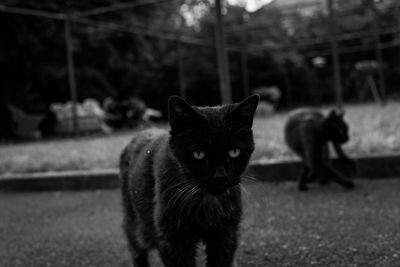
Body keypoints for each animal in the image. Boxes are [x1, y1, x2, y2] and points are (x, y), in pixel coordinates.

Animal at [119, 95, 260, 266]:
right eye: (198, 154)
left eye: (234, 152)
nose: (220, 176)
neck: (206, 203)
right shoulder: (173, 241)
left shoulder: (225, 234)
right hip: (138, 226)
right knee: (135, 248)